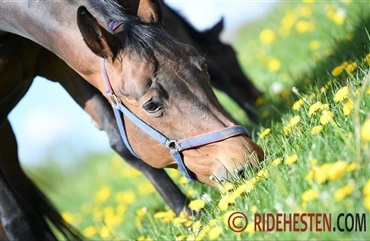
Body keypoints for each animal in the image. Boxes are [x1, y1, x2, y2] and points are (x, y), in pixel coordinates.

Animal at [0, 0, 264, 239]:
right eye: (151, 105)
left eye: (204, 66)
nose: (249, 160)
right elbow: (14, 215)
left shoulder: (59, 62)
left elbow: (123, 144)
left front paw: (189, 218)